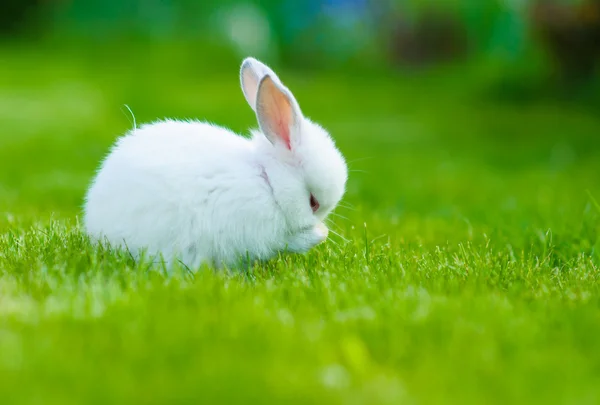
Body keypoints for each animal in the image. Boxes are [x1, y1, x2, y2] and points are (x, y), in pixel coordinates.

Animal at [82, 57, 350, 268]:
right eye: (313, 203)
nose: (317, 224)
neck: (267, 181)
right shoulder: (264, 233)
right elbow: (291, 240)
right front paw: (320, 234)